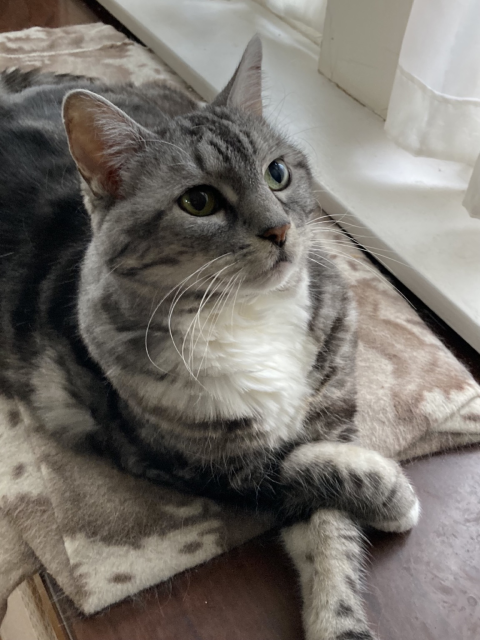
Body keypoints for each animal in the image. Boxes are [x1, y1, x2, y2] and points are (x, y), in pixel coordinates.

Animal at [0, 38, 418, 640]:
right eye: (198, 201)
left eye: (277, 172)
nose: (280, 230)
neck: (247, 315)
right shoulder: (194, 463)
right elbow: (299, 470)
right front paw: (394, 495)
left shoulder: (327, 407)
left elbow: (329, 537)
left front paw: (342, 620)